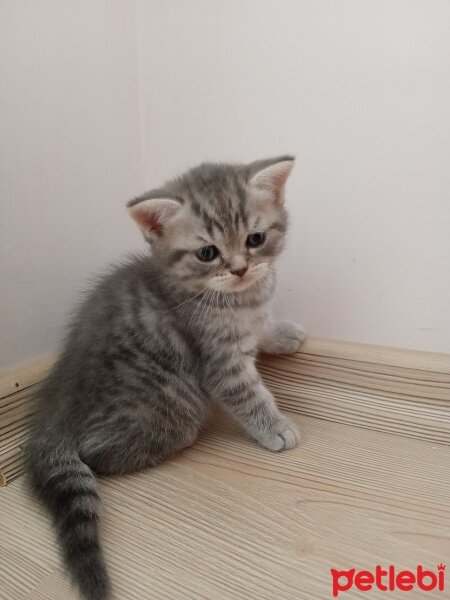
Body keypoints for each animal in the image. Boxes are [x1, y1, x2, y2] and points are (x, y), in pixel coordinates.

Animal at [24, 156, 306, 600]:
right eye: (207, 253)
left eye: (256, 239)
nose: (241, 268)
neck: (239, 298)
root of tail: (55, 410)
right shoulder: (218, 360)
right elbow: (248, 394)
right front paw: (274, 426)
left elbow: (262, 326)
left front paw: (281, 333)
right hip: (172, 407)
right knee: (98, 455)